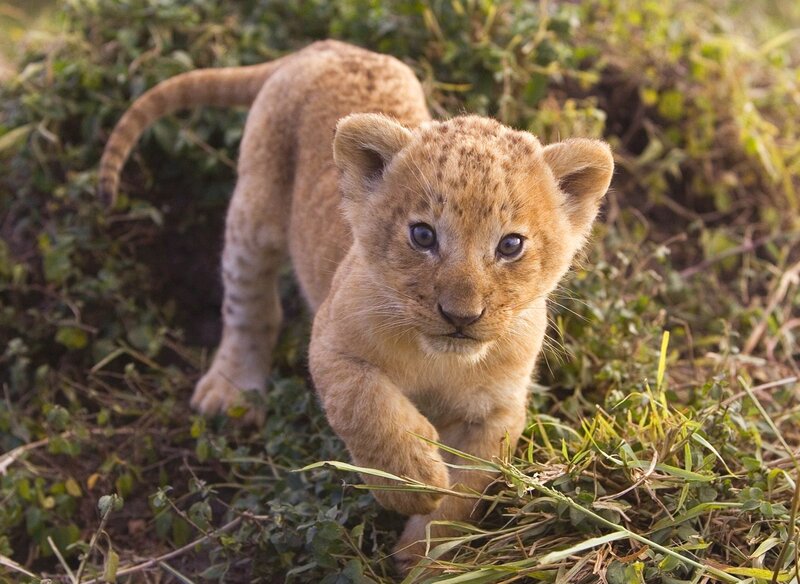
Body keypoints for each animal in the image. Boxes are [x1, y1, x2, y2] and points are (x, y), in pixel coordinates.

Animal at [99, 40, 614, 569]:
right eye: (422, 236)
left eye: (511, 245)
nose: (461, 316)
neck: (442, 362)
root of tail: (327, 47)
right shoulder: (331, 343)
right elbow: (368, 407)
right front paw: (413, 481)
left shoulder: (497, 412)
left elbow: (466, 491)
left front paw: (422, 557)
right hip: (254, 212)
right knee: (248, 305)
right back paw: (230, 391)